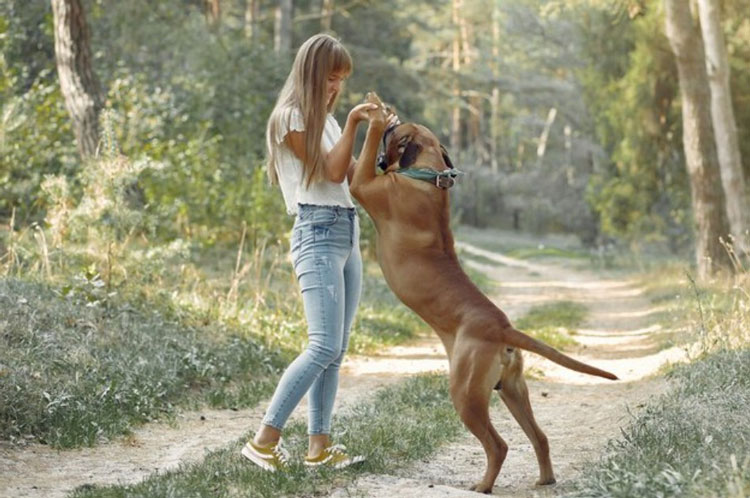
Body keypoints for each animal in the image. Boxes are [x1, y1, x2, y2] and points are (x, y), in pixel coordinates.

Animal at [350, 93, 620, 494]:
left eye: (395, 134)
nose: (393, 121)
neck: (430, 177)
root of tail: (504, 328)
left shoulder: (363, 184)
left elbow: (361, 157)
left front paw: (372, 116)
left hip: (466, 395)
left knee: (499, 444)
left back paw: (484, 485)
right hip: (513, 390)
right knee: (539, 437)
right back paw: (545, 478)